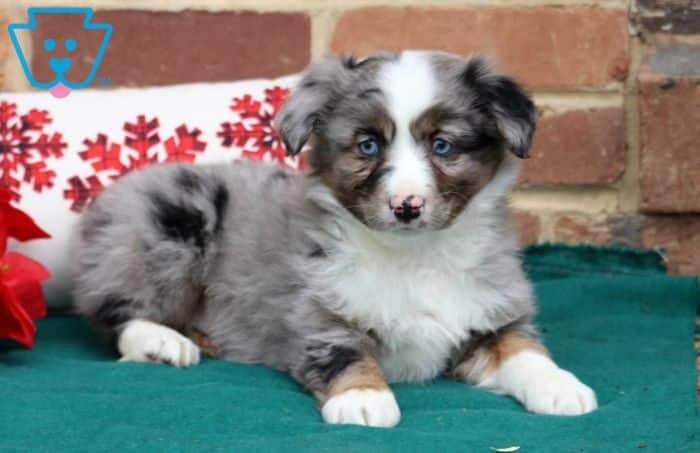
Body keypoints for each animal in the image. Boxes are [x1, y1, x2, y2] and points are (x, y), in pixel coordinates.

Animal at [72, 51, 596, 426]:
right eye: (368, 145)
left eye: (442, 145)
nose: (407, 206)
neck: (414, 255)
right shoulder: (318, 316)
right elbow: (346, 353)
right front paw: (364, 399)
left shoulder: (493, 316)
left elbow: (522, 348)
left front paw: (561, 387)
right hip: (169, 226)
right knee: (112, 307)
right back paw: (163, 342)